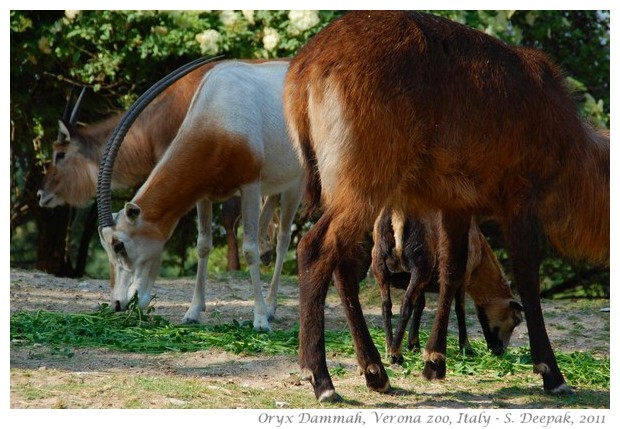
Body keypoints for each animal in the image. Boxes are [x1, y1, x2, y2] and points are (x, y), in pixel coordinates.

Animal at [98, 59, 304, 328]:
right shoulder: (204, 195)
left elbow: (249, 249)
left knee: (283, 239)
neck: (218, 118)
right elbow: (203, 245)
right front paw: (193, 311)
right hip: (275, 185)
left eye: (119, 245)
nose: (117, 304)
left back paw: (269, 307)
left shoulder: (249, 185)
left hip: (295, 184)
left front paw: (259, 319)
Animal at [372, 209, 524, 362]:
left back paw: (388, 347)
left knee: (386, 306)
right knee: (406, 304)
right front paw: (466, 348)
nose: (500, 351)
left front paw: (414, 345)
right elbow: (460, 309)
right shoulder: (463, 276)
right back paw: (396, 354)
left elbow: (420, 305)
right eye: (516, 320)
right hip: (421, 262)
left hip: (380, 261)